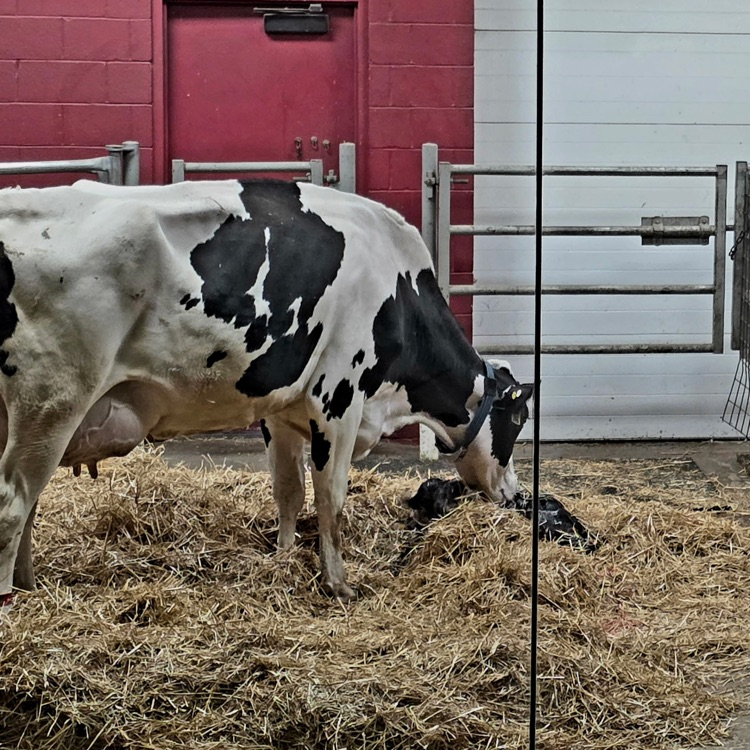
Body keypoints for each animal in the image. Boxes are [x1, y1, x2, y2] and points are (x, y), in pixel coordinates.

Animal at [0, 179, 532, 605]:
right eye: (518, 421)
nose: (515, 494)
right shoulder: (338, 397)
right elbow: (331, 497)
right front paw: (339, 584)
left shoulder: (283, 409)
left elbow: (288, 491)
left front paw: (281, 559)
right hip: (52, 400)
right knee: (12, 504)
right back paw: (11, 596)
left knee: (28, 505)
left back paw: (29, 586)